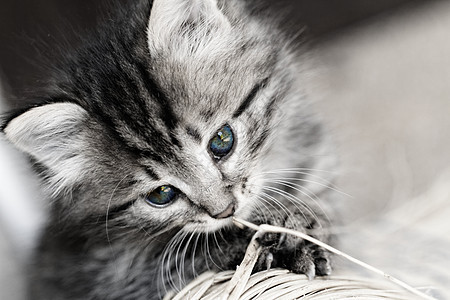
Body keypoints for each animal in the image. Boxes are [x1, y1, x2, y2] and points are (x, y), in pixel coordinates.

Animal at [2, 0, 334, 300]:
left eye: (222, 140)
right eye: (161, 194)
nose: (225, 210)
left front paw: (292, 229)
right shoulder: (115, 273)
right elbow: (186, 258)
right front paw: (268, 241)